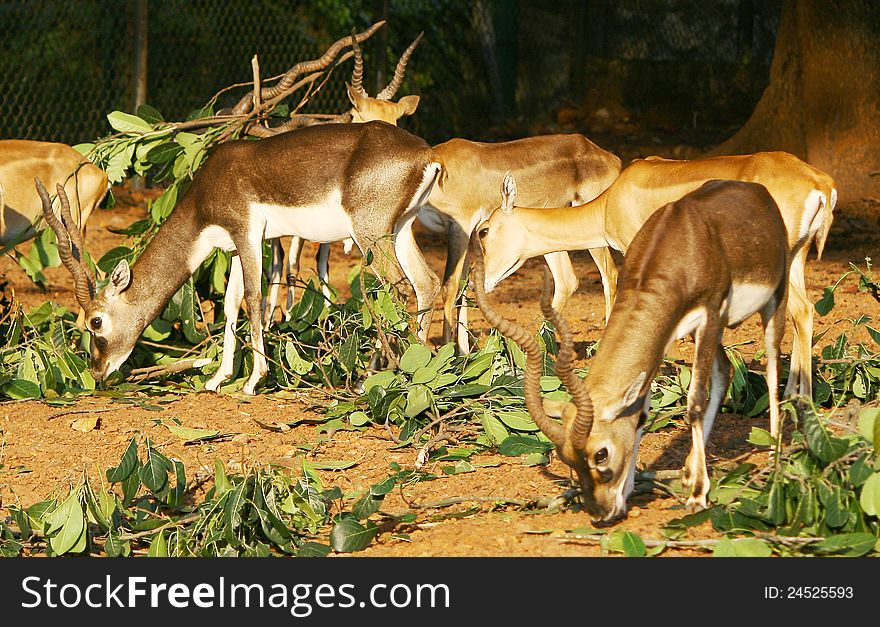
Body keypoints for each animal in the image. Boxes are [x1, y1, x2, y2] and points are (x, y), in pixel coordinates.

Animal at [40, 120, 440, 394]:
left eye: (96, 322)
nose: (97, 372)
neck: (208, 189)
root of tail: (427, 154)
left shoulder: (249, 233)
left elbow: (253, 299)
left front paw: (253, 381)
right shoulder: (232, 245)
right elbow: (231, 303)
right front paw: (218, 378)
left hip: (369, 233)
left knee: (399, 290)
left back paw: (373, 377)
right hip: (401, 228)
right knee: (426, 283)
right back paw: (421, 367)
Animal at [262, 33, 424, 328]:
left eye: (396, 119)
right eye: (361, 116)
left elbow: (321, 262)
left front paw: (327, 314)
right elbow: (291, 265)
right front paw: (289, 318)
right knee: (278, 264)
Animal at [478, 179, 796, 524]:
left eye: (600, 453)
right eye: (569, 460)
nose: (600, 513)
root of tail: (754, 189)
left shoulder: (709, 314)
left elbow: (695, 402)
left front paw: (698, 496)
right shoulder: (665, 331)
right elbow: (640, 412)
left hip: (773, 300)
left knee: (774, 366)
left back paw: (774, 459)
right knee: (725, 371)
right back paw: (689, 470)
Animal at [482, 150, 840, 400]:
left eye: (484, 231)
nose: (484, 283)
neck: (611, 202)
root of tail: (820, 183)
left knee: (801, 310)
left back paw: (801, 398)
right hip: (795, 258)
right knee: (802, 312)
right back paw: (792, 392)